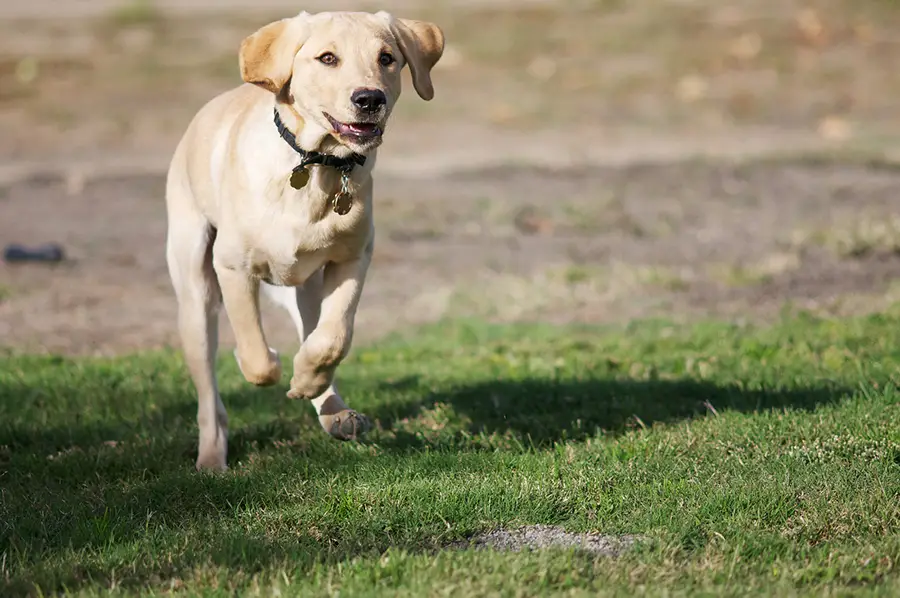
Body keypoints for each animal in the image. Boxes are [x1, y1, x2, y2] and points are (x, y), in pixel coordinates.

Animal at [164, 8, 442, 468]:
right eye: (327, 58)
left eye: (387, 58)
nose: (370, 99)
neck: (317, 165)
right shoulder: (232, 265)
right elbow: (256, 354)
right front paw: (270, 364)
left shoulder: (353, 258)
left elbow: (333, 339)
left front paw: (308, 382)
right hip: (195, 289)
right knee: (208, 395)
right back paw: (211, 457)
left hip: (305, 287)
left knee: (313, 332)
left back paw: (335, 412)